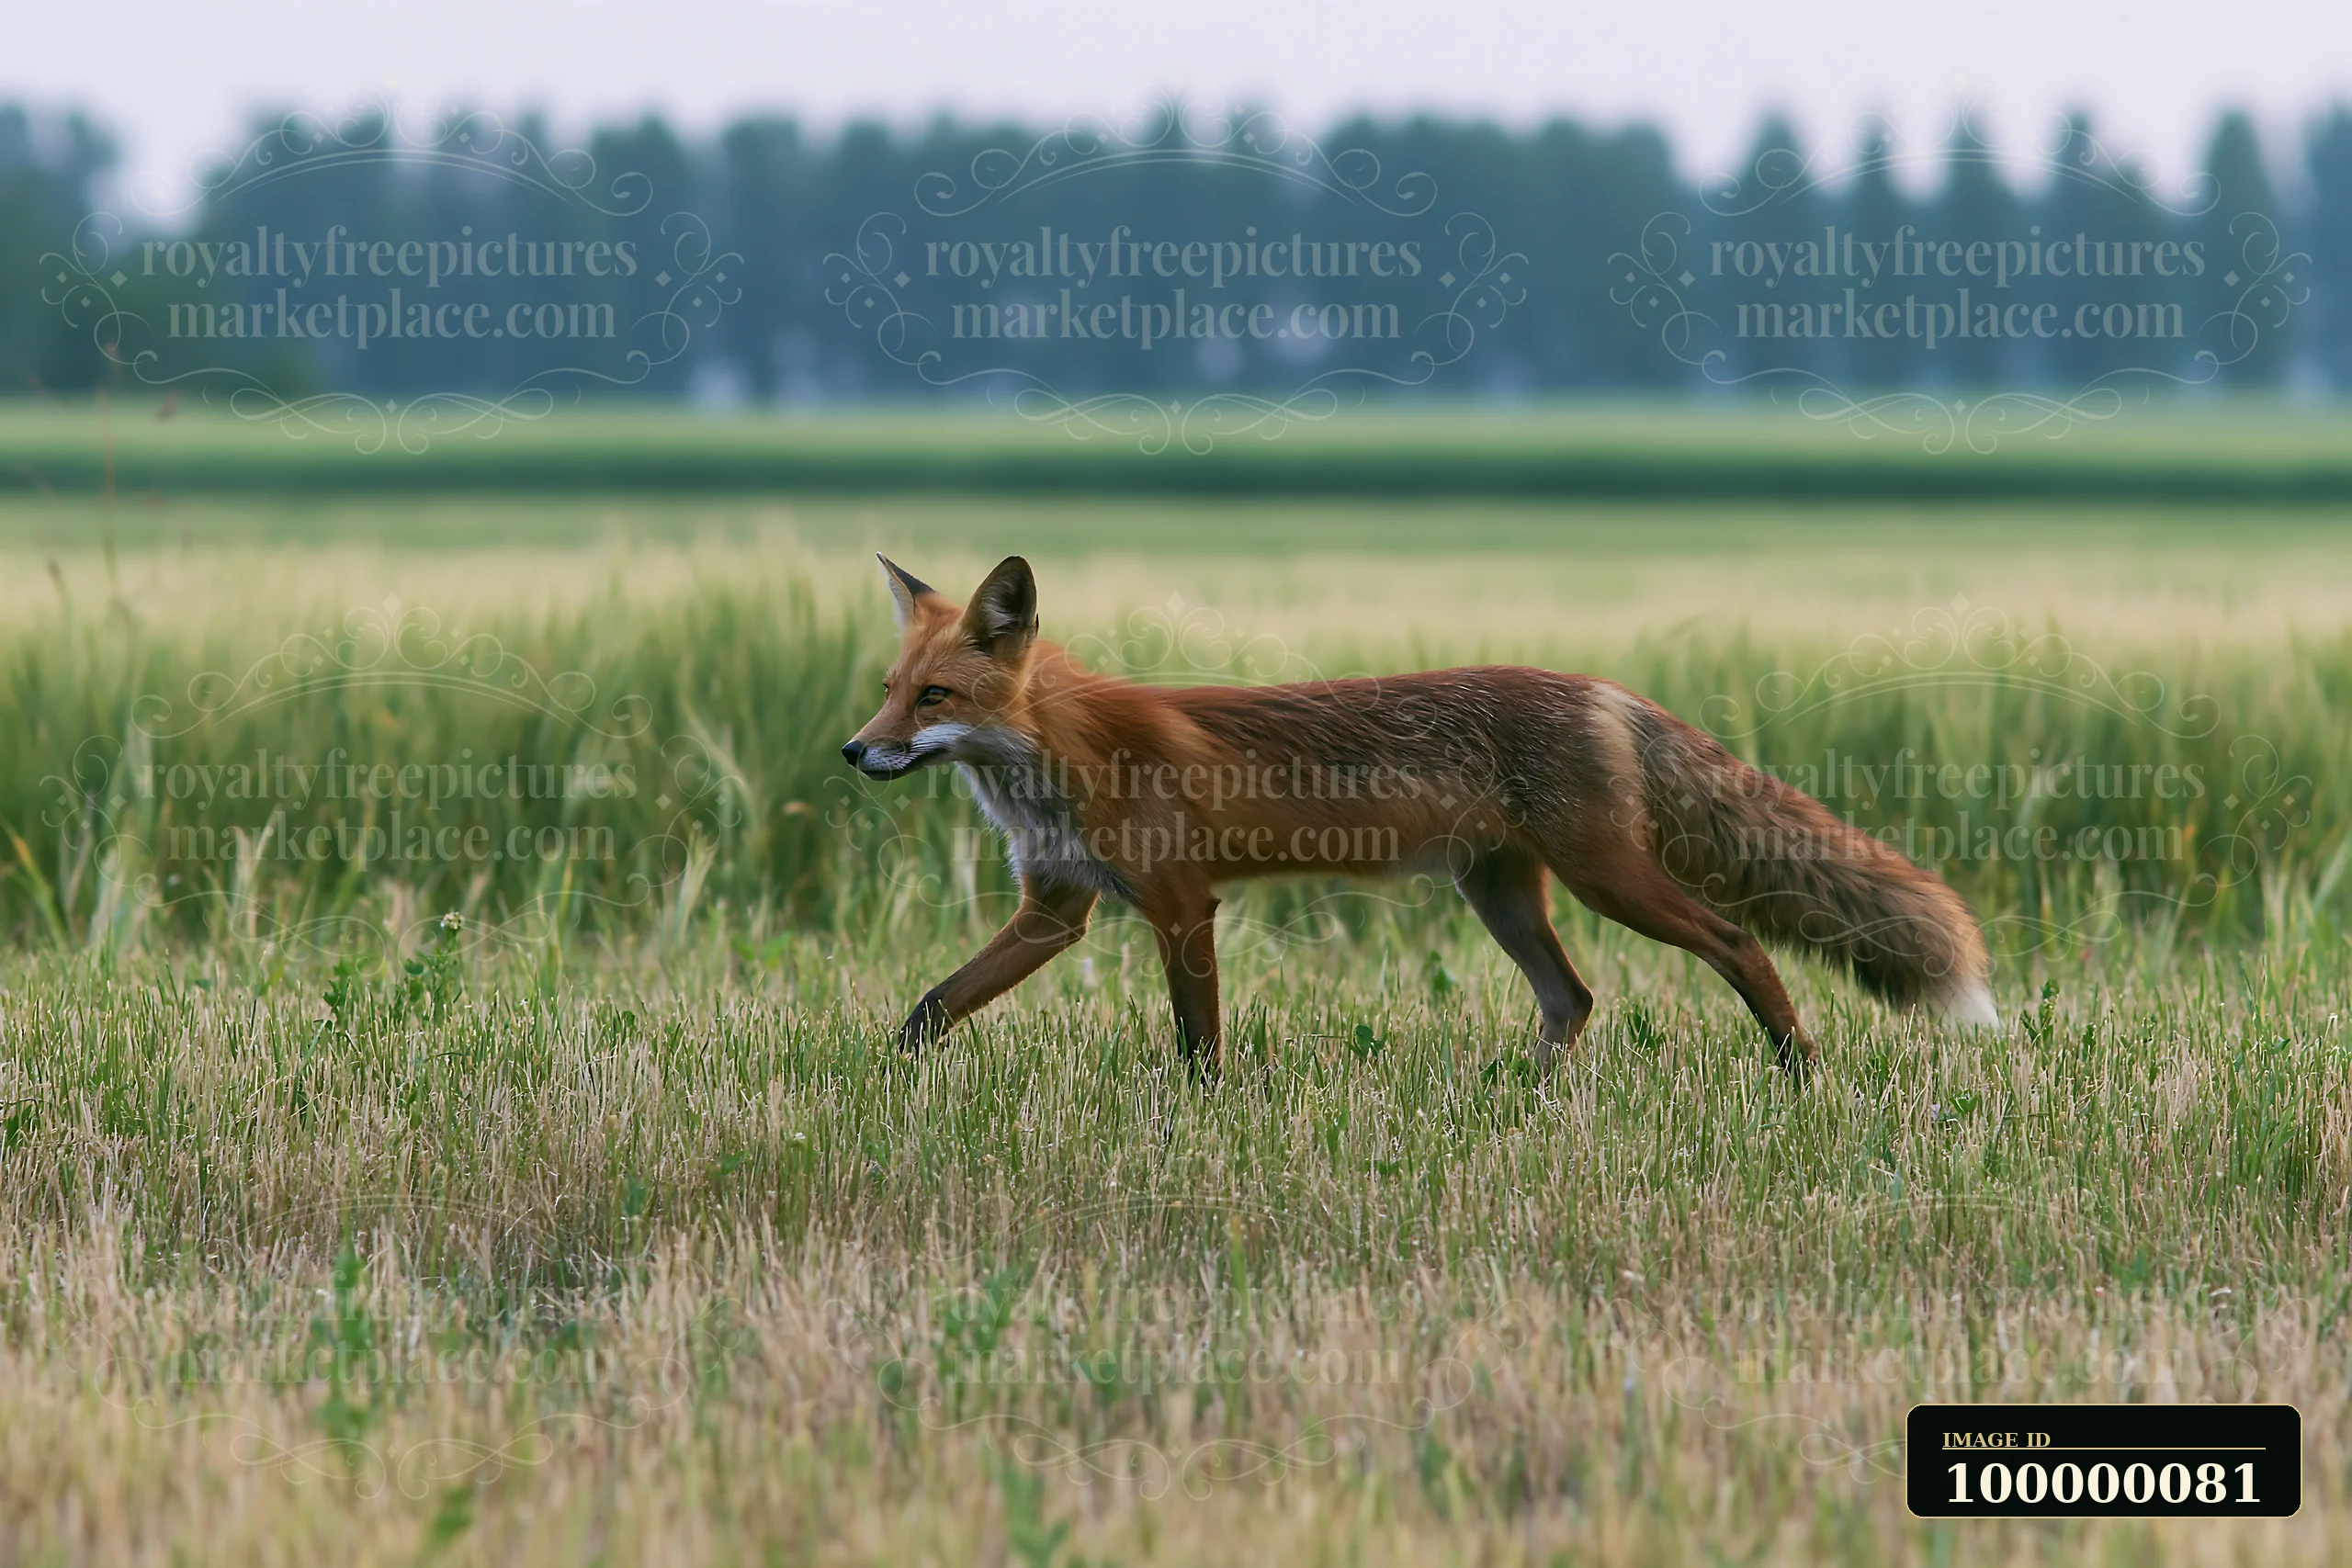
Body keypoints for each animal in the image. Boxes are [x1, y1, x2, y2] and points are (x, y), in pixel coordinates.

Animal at [842, 554, 1997, 1079]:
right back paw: (1517, 1098)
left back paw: (1798, 1068)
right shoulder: (1057, 908)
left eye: (934, 699)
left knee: (1736, 941)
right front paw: (885, 1077)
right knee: (1575, 997)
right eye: (890, 691)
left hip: (1609, 882)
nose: (855, 752)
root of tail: (1602, 688)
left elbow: (1198, 1040)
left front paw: (1203, 1116)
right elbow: (933, 1004)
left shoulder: (1180, 904)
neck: (1062, 761)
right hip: (1503, 896)